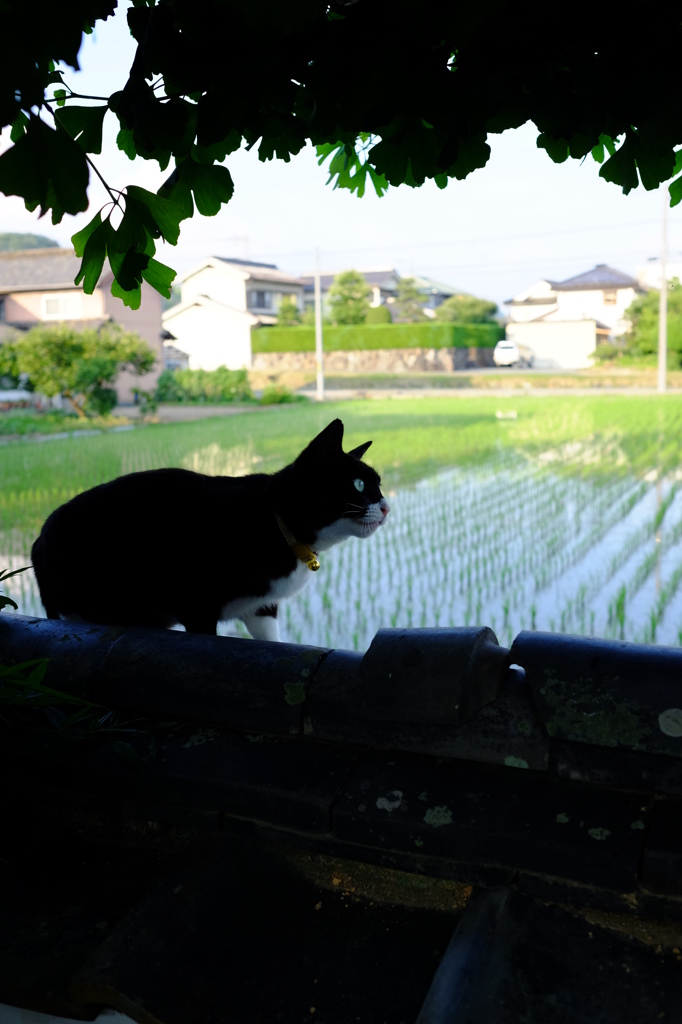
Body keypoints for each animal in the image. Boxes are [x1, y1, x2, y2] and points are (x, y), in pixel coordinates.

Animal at [30, 415, 387, 638]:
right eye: (358, 485)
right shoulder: (196, 608)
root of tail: (36, 542)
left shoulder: (261, 608)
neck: (277, 522)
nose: (386, 506)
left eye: (380, 485)